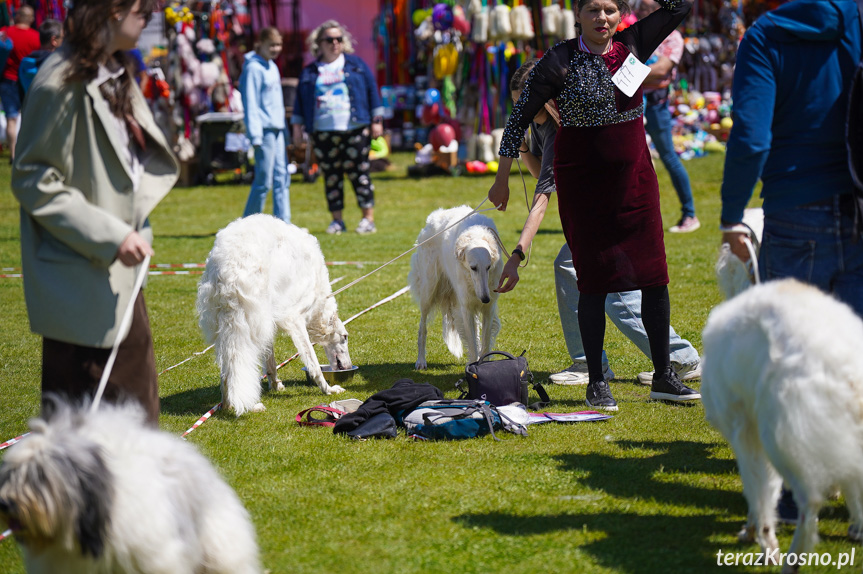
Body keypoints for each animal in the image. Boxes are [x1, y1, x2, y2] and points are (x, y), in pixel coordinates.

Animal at [198, 214, 352, 416]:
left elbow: (270, 360)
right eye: (345, 337)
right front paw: (328, 389)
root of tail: (229, 267)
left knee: (227, 370)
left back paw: (227, 404)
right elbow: (313, 363)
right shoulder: (294, 318)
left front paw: (275, 384)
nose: (349, 366)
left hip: (230, 324)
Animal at [408, 205, 502, 372]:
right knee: (422, 328)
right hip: (429, 289)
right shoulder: (466, 307)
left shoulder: (488, 309)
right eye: (473, 267)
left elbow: (484, 343)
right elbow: (473, 345)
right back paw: (421, 361)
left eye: (489, 267)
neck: (475, 233)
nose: (484, 298)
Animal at [704, 280, 863, 572]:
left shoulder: (746, 433)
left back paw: (792, 560)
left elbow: (759, 494)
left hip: (781, 441)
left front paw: (763, 542)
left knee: (810, 503)